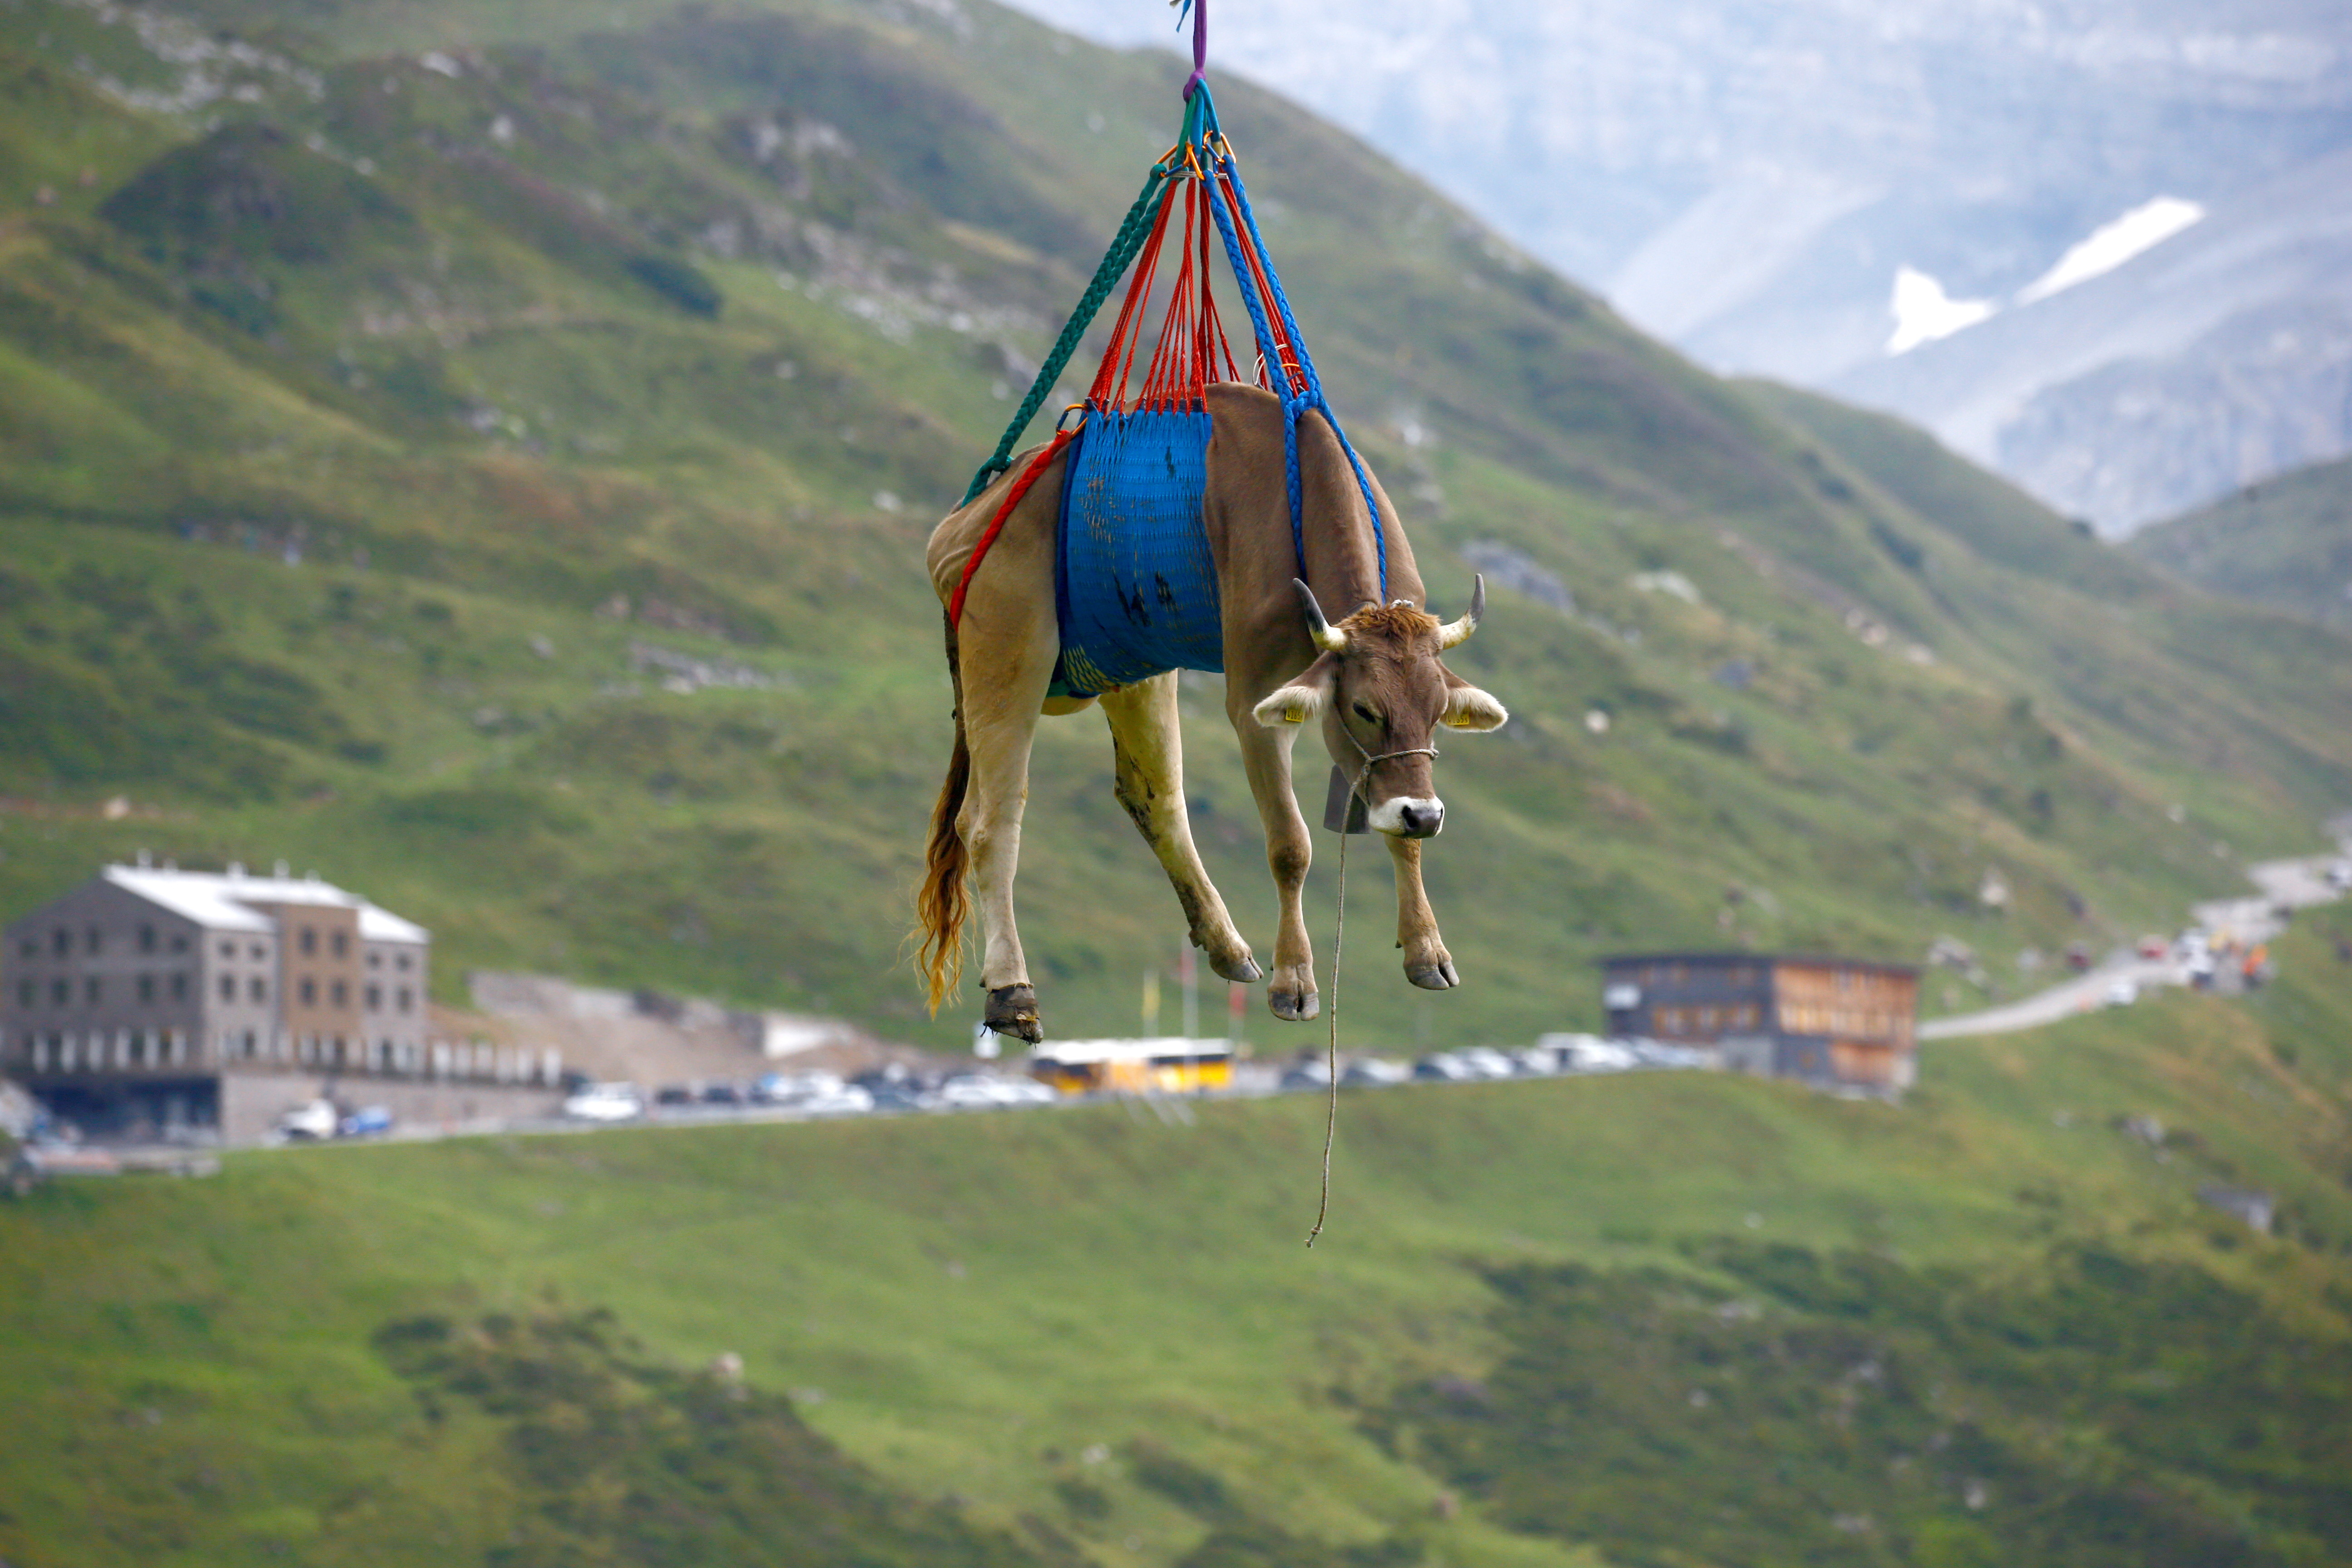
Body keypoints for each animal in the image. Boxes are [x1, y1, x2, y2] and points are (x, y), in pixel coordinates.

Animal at [917, 378, 1505, 1044]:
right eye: (1362, 707)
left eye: (1436, 711)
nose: (1423, 814)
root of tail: (966, 520)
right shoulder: (1254, 703)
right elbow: (1290, 845)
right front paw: (1294, 981)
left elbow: (1401, 839)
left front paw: (1427, 951)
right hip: (1006, 648)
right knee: (988, 822)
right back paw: (1012, 992)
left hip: (1135, 665)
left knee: (1157, 802)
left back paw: (1227, 946)